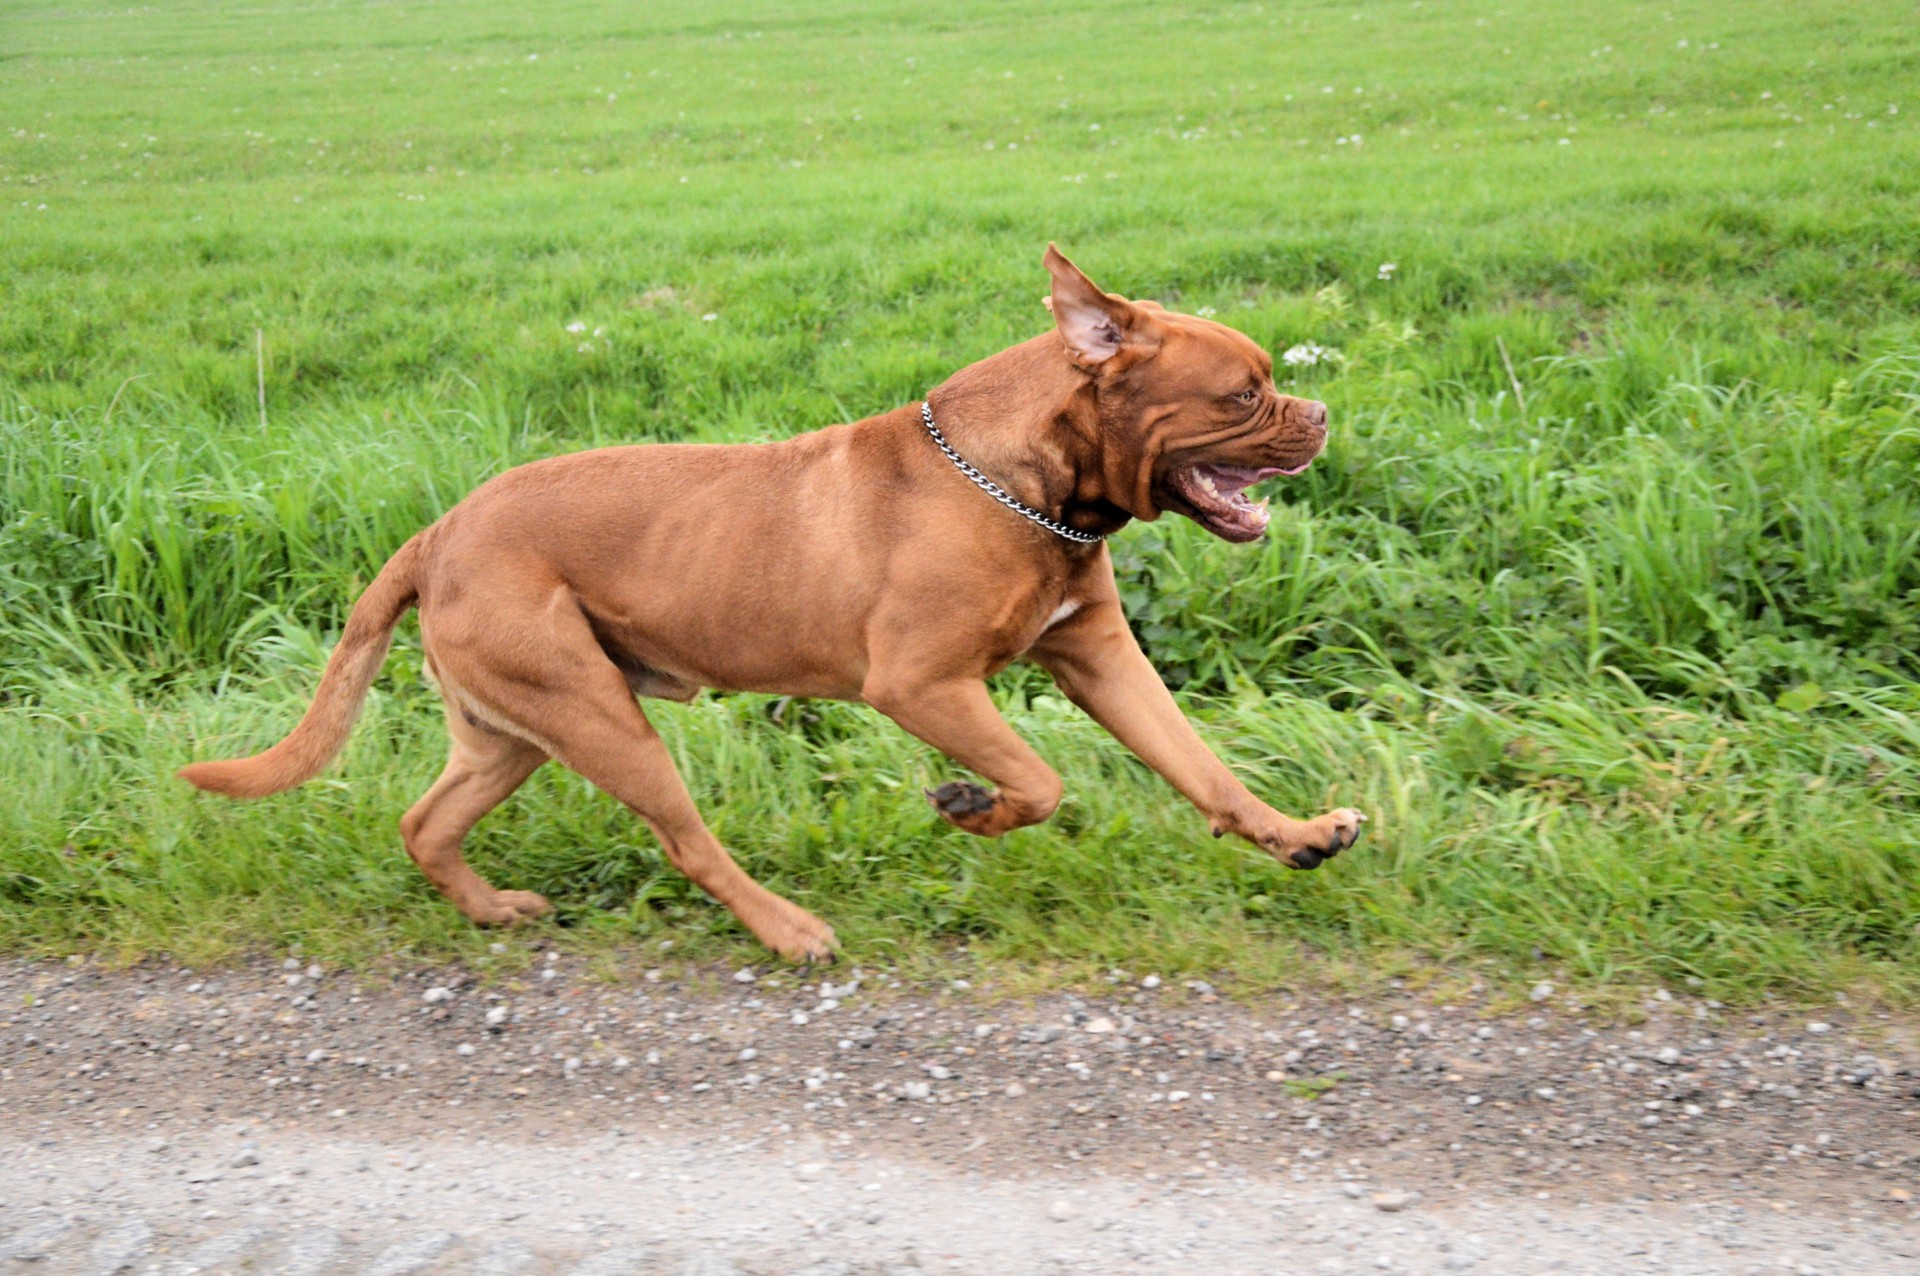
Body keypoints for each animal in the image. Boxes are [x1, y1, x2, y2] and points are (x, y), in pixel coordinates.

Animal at [183, 245, 1367, 955]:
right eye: (1243, 393)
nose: (1318, 413)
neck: (1027, 487)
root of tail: (436, 533)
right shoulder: (923, 686)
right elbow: (1038, 781)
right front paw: (971, 806)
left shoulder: (1101, 658)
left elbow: (1200, 764)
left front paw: (1296, 834)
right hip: (598, 716)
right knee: (685, 838)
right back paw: (789, 929)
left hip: (511, 729)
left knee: (426, 822)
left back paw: (491, 909)